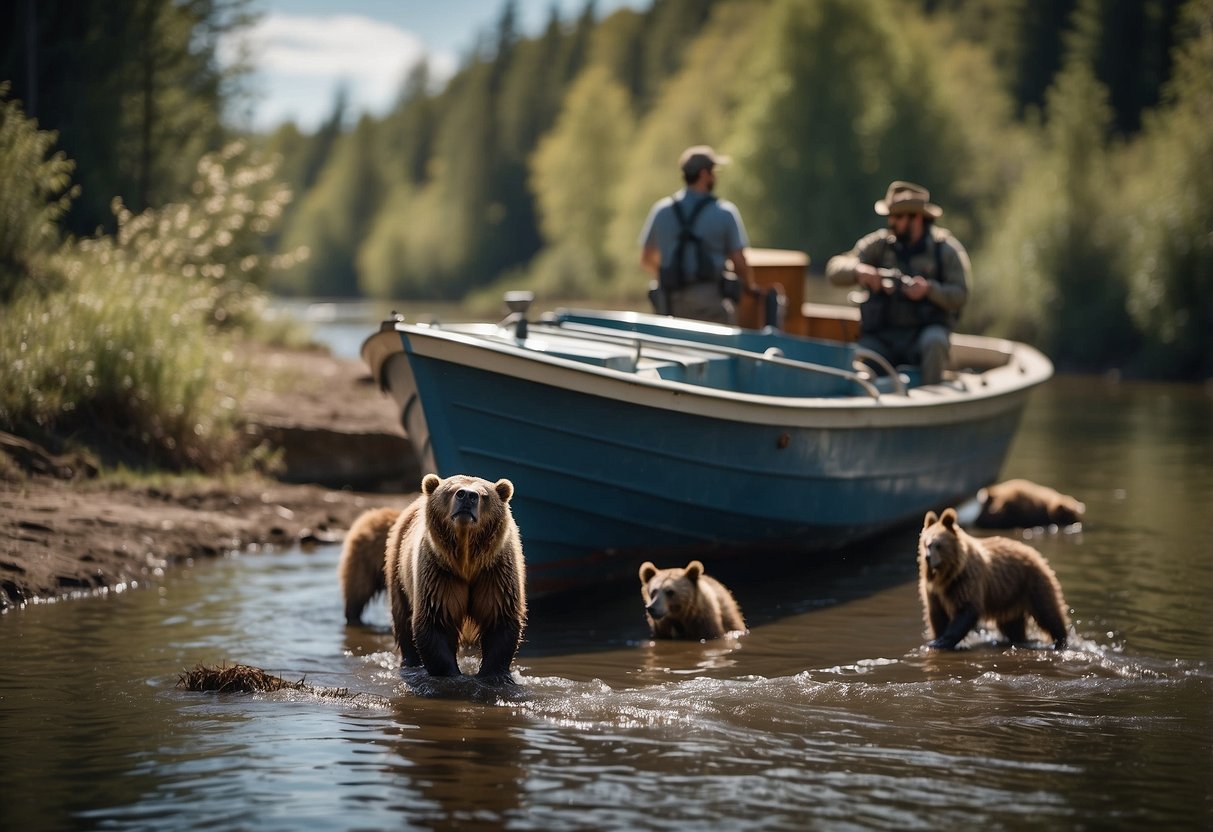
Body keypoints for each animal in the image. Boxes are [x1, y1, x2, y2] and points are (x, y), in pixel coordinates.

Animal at [385, 475, 524, 684]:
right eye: (452, 490)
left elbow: (499, 618)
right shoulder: (439, 574)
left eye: (484, 494)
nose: (467, 496)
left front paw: (494, 675)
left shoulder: (495, 572)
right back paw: (410, 662)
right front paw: (450, 674)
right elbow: (436, 620)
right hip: (398, 566)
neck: (466, 561)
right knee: (403, 618)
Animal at [917, 509, 1072, 650]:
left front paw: (941, 641)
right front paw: (937, 638)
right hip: (1010, 596)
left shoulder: (966, 581)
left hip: (1032, 582)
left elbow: (966, 609)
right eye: (925, 543)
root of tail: (1034, 552)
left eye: (938, 545)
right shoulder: (934, 591)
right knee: (1013, 626)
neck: (947, 575)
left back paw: (1060, 640)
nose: (927, 557)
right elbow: (937, 614)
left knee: (1048, 612)